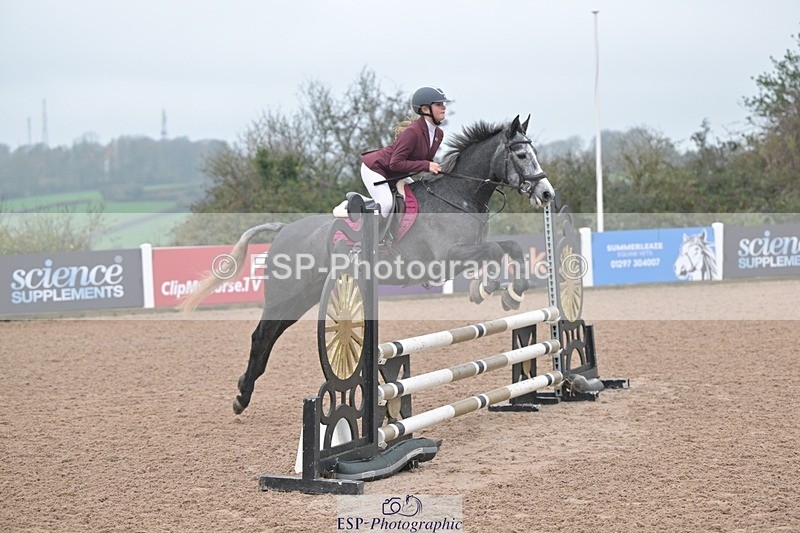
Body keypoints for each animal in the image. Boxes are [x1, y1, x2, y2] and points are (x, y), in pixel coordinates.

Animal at [179, 115, 554, 414]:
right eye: (522, 154)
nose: (547, 194)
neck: (458, 198)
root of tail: (284, 229)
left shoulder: (465, 253)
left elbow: (509, 248)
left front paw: (510, 292)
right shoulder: (447, 258)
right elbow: (494, 250)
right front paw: (494, 288)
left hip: (302, 298)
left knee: (270, 335)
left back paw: (243, 391)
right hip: (286, 296)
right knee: (261, 335)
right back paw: (241, 396)